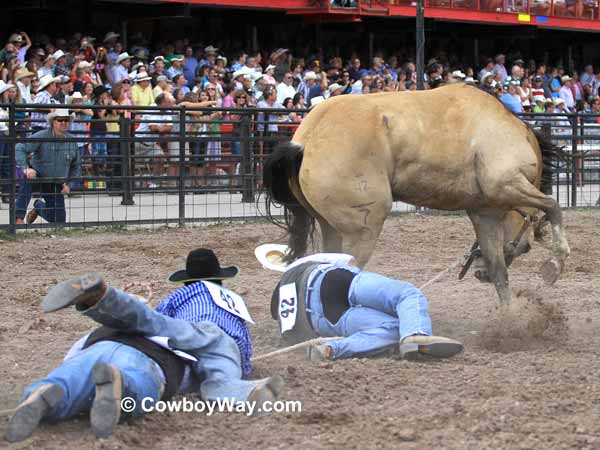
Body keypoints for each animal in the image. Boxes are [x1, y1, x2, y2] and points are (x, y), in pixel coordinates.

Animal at [264, 82, 568, 304]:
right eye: (526, 247)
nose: (479, 273)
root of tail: (304, 140)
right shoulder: (505, 184)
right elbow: (553, 206)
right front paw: (555, 263)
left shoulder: (486, 213)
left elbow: (500, 272)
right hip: (363, 229)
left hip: (330, 227)